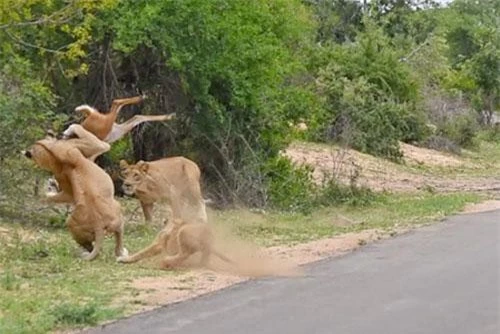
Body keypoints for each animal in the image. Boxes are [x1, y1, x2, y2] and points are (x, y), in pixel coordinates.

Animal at [24, 124, 128, 260]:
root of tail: (98, 224)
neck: (51, 154)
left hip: (76, 222)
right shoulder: (96, 145)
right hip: (117, 211)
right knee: (118, 236)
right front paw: (69, 130)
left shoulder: (66, 186)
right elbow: (79, 128)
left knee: (92, 245)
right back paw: (121, 252)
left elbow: (58, 196)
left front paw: (46, 195)